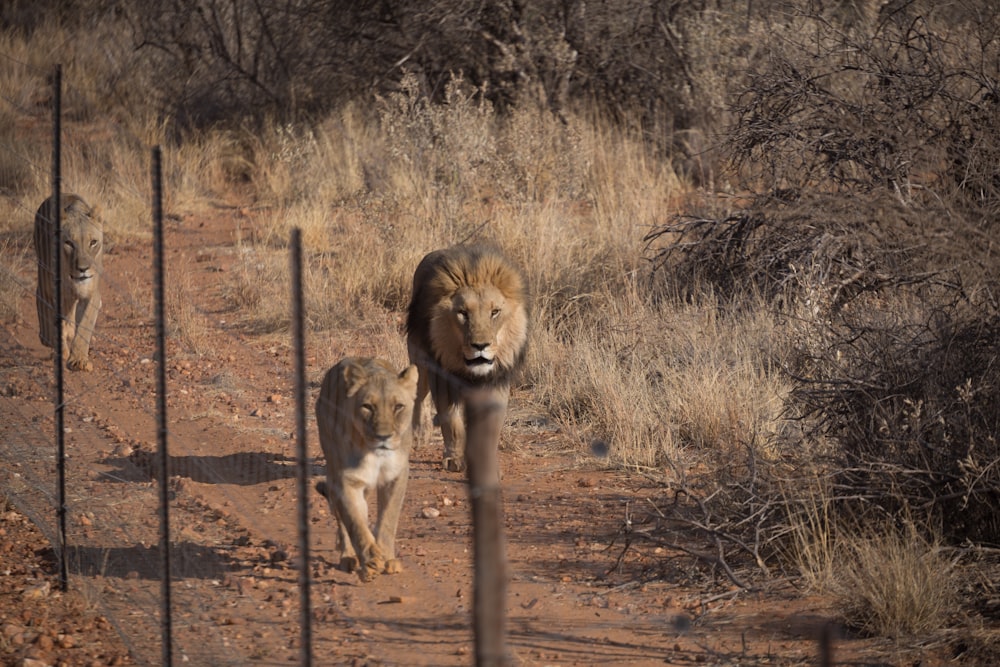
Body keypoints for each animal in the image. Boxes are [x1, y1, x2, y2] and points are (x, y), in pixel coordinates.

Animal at [33, 193, 103, 374]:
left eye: (93, 242)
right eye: (69, 243)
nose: (83, 269)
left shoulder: (92, 294)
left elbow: (84, 325)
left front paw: (78, 360)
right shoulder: (52, 292)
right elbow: (55, 322)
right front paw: (59, 347)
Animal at [316, 358, 418, 580]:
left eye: (398, 406)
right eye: (367, 407)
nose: (383, 437)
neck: (375, 455)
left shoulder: (396, 476)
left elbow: (388, 518)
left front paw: (387, 558)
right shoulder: (346, 480)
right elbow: (355, 523)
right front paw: (371, 561)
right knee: (343, 520)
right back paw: (348, 557)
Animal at [406, 247, 532, 474]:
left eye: (495, 312)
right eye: (463, 313)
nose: (480, 346)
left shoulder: (496, 380)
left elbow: (490, 427)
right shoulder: (443, 378)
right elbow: (451, 421)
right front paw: (454, 459)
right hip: (418, 357)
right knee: (419, 394)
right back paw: (420, 435)